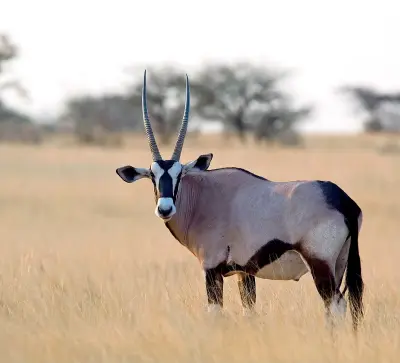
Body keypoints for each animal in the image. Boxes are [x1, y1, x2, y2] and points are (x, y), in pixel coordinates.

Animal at [114, 69, 364, 332]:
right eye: (152, 175)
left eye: (179, 174)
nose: (165, 208)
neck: (203, 197)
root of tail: (343, 201)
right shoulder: (245, 273)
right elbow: (249, 311)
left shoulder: (212, 269)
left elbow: (215, 313)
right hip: (340, 263)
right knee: (345, 304)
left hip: (320, 264)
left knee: (335, 304)